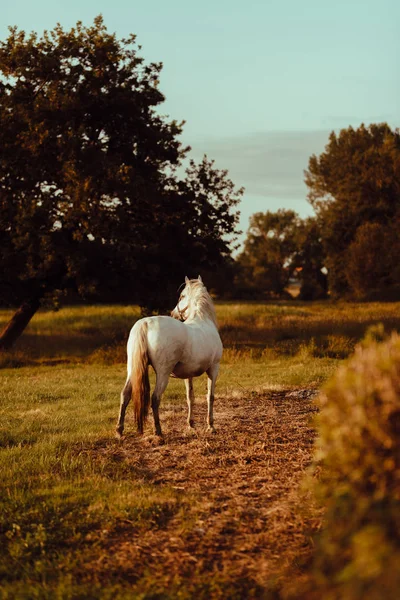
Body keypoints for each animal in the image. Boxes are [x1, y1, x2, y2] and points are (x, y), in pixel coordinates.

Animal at [115, 276, 223, 436]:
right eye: (182, 295)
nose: (173, 313)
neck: (203, 319)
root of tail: (145, 323)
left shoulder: (188, 375)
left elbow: (190, 397)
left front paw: (191, 424)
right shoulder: (214, 369)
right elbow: (210, 396)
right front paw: (211, 426)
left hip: (132, 370)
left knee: (125, 395)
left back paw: (119, 430)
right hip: (163, 374)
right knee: (155, 398)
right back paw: (158, 430)